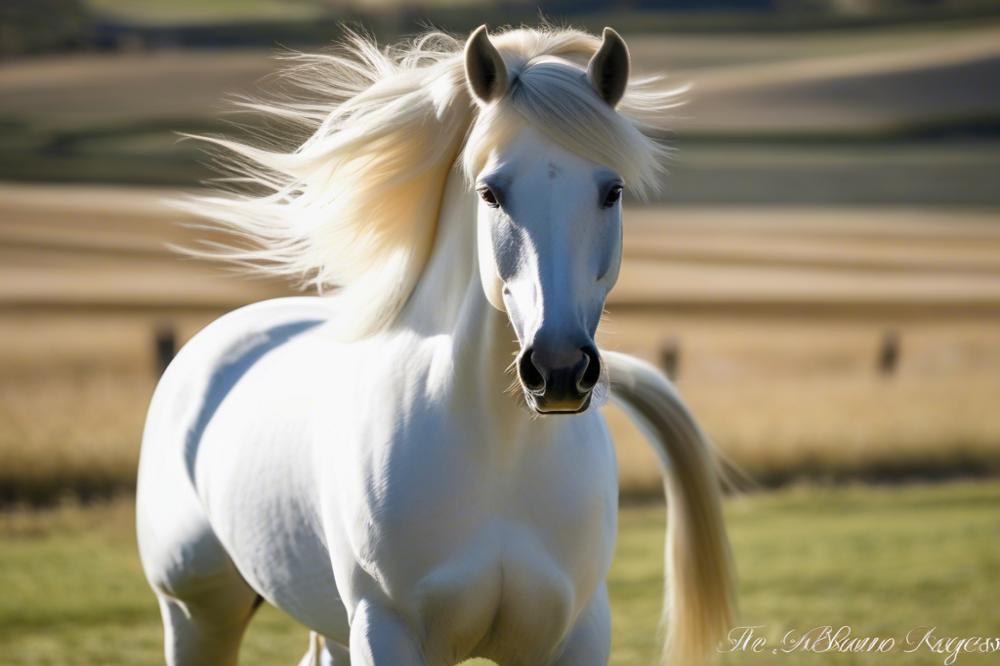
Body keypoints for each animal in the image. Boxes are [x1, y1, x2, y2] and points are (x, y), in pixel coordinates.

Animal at [136, 24, 734, 666]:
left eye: (612, 190)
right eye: (491, 192)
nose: (558, 370)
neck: (499, 456)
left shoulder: (576, 634)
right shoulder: (386, 629)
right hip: (198, 612)